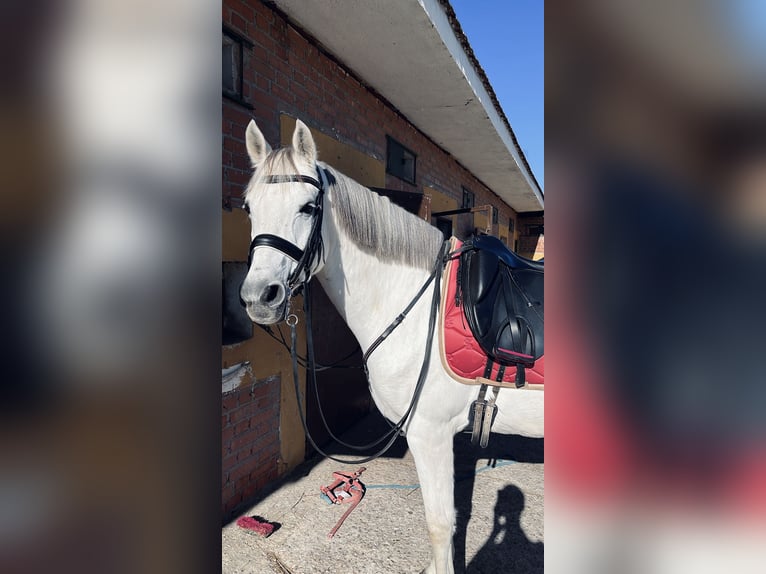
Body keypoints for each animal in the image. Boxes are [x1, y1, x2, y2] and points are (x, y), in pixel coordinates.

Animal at [240, 119, 544, 574]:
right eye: (248, 207)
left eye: (308, 207)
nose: (260, 297)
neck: (419, 307)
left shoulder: (430, 434)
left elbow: (440, 524)